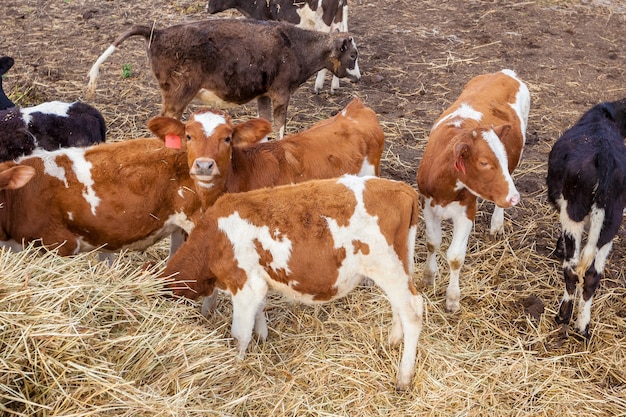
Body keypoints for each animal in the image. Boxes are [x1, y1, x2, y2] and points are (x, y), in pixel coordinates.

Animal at [88, 18, 360, 138]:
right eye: (354, 55)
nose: (358, 77)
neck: (295, 46)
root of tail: (159, 32)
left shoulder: (263, 95)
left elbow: (265, 127)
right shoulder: (281, 93)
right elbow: (280, 128)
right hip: (177, 95)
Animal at [414, 69, 528, 312]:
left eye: (502, 158)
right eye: (484, 162)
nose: (515, 198)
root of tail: (504, 73)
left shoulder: (467, 210)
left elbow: (455, 257)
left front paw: (452, 299)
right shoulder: (427, 204)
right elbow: (432, 242)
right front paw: (428, 277)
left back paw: (497, 223)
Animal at [544, 97, 624, 338]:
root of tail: (604, 156)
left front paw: (558, 248)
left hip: (574, 212)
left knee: (572, 269)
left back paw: (563, 316)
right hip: (610, 223)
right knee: (592, 275)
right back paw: (583, 326)